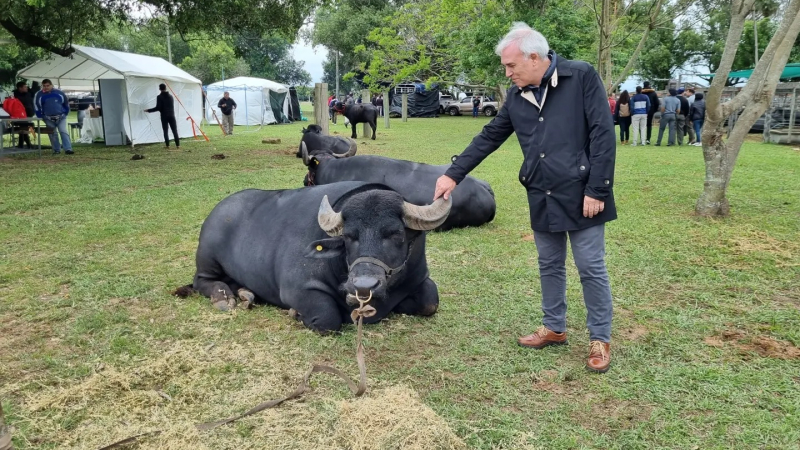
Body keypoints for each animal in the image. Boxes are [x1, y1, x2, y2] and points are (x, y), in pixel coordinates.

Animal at [175, 182, 451, 333]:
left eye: (396, 234)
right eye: (349, 236)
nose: (363, 286)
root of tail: (216, 212)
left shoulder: (420, 278)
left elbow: (430, 301)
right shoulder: (298, 289)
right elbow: (327, 318)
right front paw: (295, 313)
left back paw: (246, 294)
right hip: (207, 258)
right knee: (202, 281)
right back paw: (223, 298)